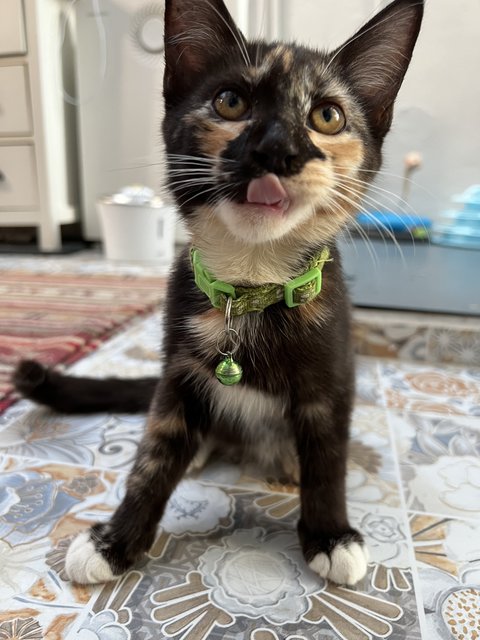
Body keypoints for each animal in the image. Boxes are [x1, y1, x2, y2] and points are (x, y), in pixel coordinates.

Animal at [13, 0, 422, 588]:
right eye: (230, 102)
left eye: (328, 117)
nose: (277, 148)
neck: (250, 284)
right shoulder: (178, 371)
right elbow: (154, 456)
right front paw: (115, 540)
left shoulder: (333, 371)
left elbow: (327, 457)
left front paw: (331, 535)